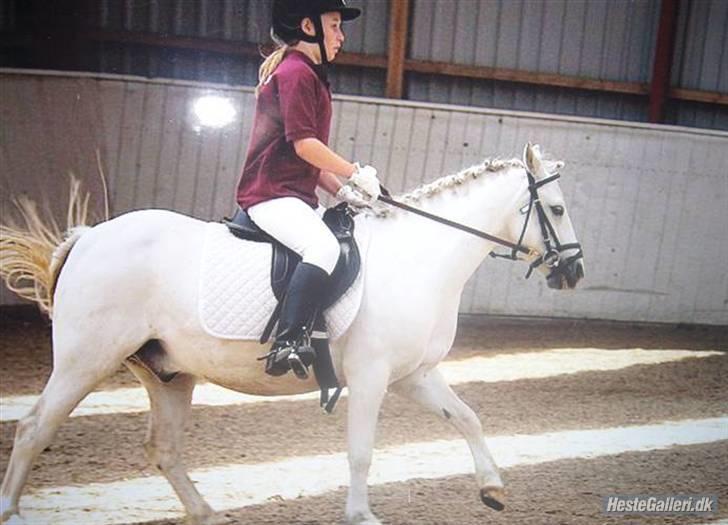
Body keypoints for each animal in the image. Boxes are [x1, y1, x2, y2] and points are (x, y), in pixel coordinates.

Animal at [0, 143, 584, 525]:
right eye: (556, 210)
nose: (573, 272)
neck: (421, 259)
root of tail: (89, 236)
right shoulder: (371, 377)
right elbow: (361, 450)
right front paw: (360, 515)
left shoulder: (413, 375)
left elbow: (467, 418)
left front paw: (493, 489)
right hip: (86, 359)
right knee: (33, 429)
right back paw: (12, 510)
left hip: (168, 374)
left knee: (162, 448)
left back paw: (206, 513)